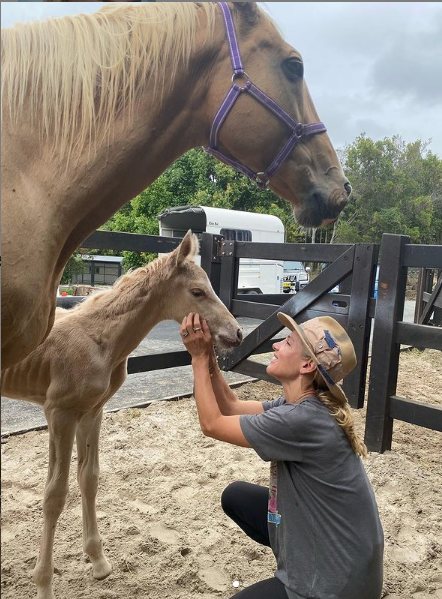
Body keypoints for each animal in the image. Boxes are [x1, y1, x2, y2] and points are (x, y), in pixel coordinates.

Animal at [0, 233, 242, 599]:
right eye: (197, 292)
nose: (237, 333)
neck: (100, 339)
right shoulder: (59, 412)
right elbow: (54, 494)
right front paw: (43, 585)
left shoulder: (92, 411)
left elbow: (89, 478)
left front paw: (98, 562)